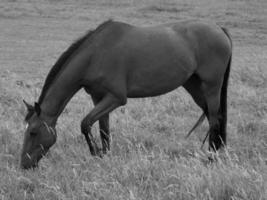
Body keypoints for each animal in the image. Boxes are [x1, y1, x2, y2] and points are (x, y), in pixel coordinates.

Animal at [20, 19, 232, 169]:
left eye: (33, 132)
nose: (24, 164)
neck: (96, 54)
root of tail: (219, 29)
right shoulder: (98, 98)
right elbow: (103, 130)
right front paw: (104, 157)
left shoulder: (116, 98)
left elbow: (85, 124)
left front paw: (95, 153)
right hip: (194, 86)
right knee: (214, 117)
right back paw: (218, 152)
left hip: (211, 86)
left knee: (214, 119)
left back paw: (211, 158)